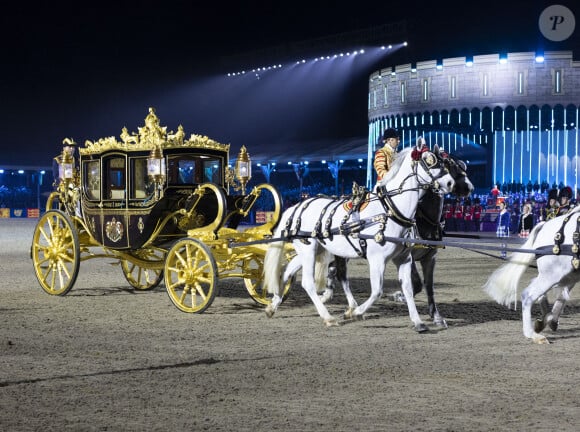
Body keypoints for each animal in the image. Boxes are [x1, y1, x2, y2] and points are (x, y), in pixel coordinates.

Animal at [262, 147, 458, 330]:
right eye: (429, 161)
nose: (450, 183)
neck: (390, 210)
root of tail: (297, 206)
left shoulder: (404, 258)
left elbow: (409, 289)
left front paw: (418, 322)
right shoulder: (377, 259)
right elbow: (377, 291)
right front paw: (355, 313)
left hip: (315, 248)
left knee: (287, 271)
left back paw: (273, 305)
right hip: (308, 249)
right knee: (308, 282)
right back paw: (328, 317)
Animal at [482, 206, 580, 344]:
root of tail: (545, 225)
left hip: (568, 273)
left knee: (555, 296)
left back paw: (548, 320)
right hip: (555, 273)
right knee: (529, 295)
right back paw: (534, 334)